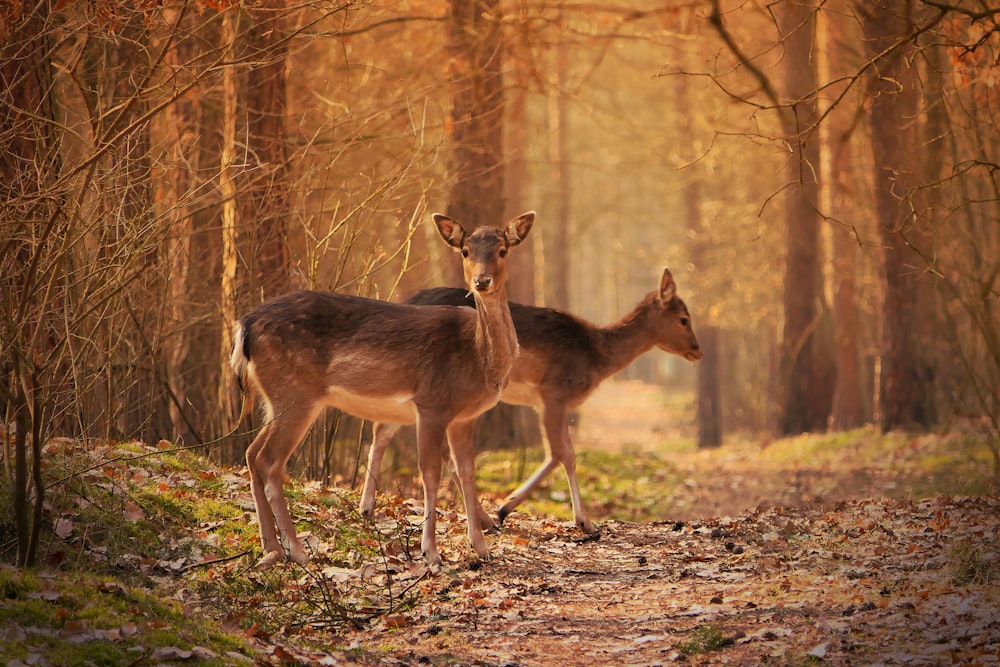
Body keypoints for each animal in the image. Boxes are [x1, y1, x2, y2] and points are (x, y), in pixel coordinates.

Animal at [230, 211, 536, 572]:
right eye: (465, 251)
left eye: (502, 250)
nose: (482, 281)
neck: (478, 358)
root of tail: (245, 325)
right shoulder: (431, 404)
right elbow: (430, 474)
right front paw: (431, 552)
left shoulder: (464, 417)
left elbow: (467, 472)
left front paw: (481, 547)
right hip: (296, 392)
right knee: (270, 460)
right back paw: (297, 550)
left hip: (274, 398)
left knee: (252, 453)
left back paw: (271, 548)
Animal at [362, 268, 704, 536]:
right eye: (683, 318)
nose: (697, 350)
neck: (595, 356)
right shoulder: (554, 394)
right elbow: (562, 454)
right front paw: (578, 521)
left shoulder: (551, 402)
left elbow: (564, 453)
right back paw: (485, 519)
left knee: (383, 431)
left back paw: (367, 509)